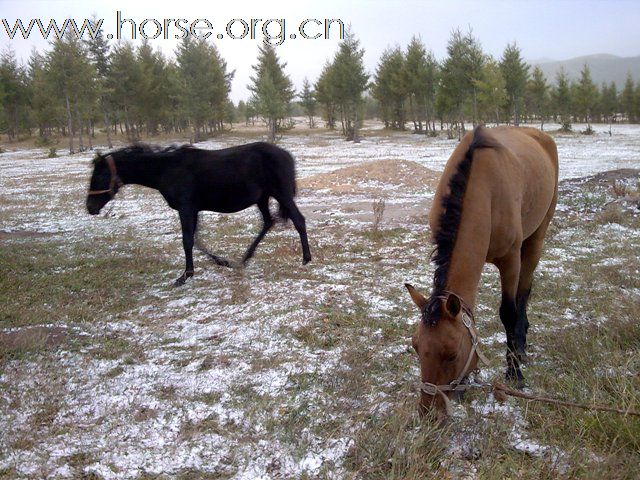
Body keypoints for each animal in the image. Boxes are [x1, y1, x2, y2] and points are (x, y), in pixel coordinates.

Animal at [86, 142, 312, 284]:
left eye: (101, 176)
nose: (90, 207)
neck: (168, 169)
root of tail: (286, 155)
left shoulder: (186, 208)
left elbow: (187, 241)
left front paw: (185, 276)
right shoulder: (193, 209)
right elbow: (196, 240)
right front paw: (221, 261)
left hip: (281, 194)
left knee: (298, 220)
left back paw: (306, 259)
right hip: (262, 198)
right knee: (268, 222)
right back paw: (244, 259)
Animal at [408, 125, 556, 414]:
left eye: (452, 355)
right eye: (416, 348)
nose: (428, 413)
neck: (484, 189)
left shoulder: (510, 259)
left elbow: (509, 312)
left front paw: (514, 374)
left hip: (536, 237)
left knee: (524, 291)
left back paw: (521, 347)